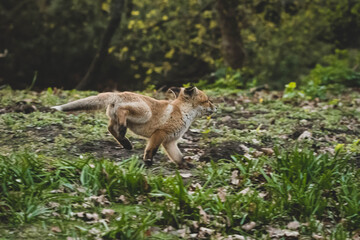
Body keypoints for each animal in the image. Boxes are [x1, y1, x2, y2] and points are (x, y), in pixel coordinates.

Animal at [51, 86, 215, 167]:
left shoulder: (170, 141)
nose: (216, 108)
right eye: (207, 100)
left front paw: (186, 165)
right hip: (145, 112)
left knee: (110, 128)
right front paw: (148, 161)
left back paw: (125, 142)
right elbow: (151, 150)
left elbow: (178, 157)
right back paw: (124, 133)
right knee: (122, 112)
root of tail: (118, 93)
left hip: (117, 118)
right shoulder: (159, 134)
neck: (181, 111)